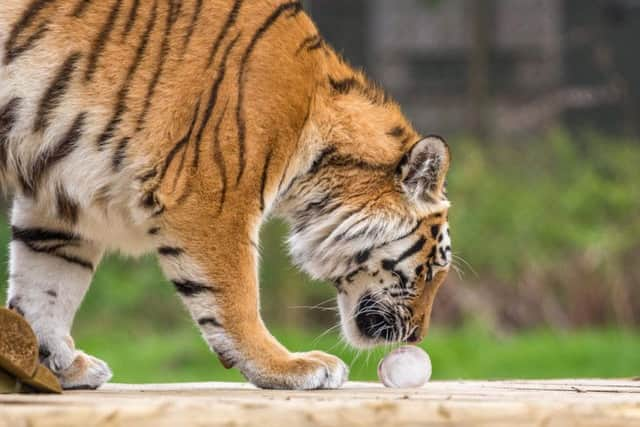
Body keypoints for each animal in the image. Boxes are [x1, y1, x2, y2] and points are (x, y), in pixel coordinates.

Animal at [0, 0, 452, 392]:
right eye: (432, 270)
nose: (418, 335)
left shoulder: (64, 200)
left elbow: (48, 285)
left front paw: (58, 364)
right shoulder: (211, 198)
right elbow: (237, 297)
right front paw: (288, 367)